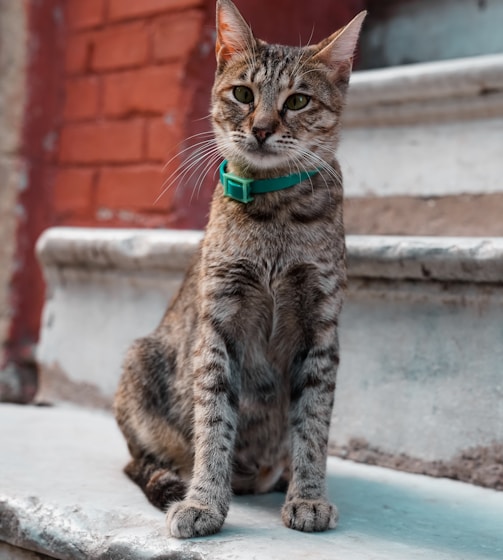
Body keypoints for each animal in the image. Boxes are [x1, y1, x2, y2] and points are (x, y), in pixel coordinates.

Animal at [114, 0, 366, 540]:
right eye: (243, 94)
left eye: (298, 101)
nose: (263, 128)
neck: (274, 213)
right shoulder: (219, 325)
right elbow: (214, 421)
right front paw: (204, 501)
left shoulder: (320, 329)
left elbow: (313, 424)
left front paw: (309, 496)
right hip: (140, 362)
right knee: (139, 461)